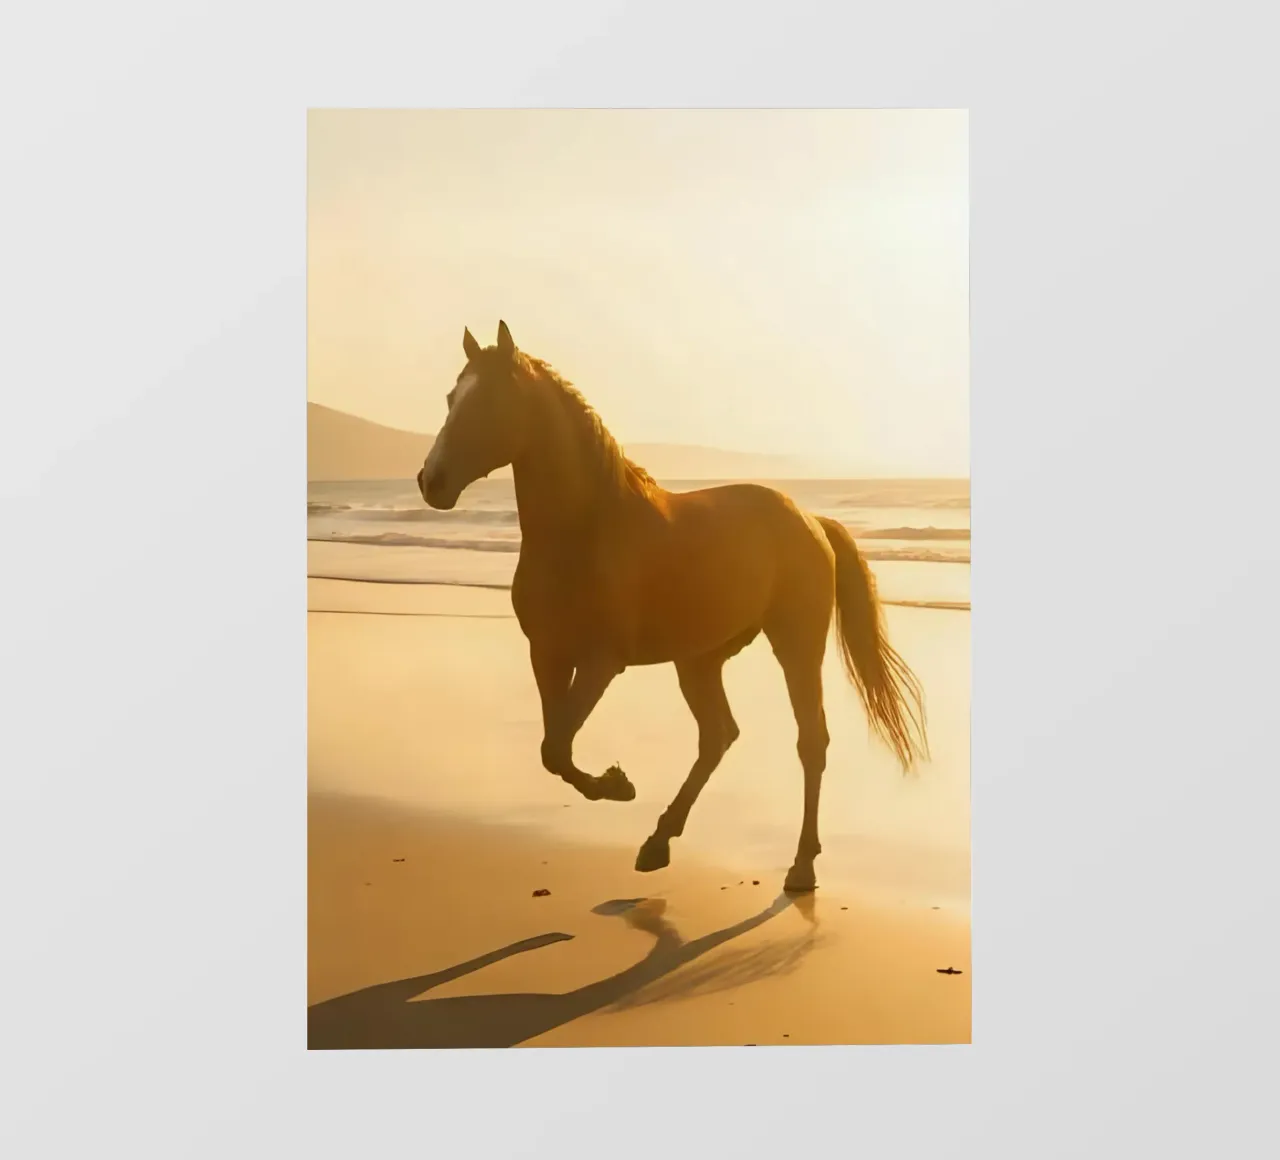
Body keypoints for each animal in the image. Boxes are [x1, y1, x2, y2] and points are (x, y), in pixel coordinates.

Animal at [417, 321, 928, 893]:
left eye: (490, 401)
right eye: (451, 398)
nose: (431, 482)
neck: (585, 528)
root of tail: (809, 519)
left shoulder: (601, 661)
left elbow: (558, 746)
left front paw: (617, 784)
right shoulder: (547, 655)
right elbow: (554, 748)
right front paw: (618, 784)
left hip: (795, 646)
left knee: (809, 742)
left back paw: (800, 865)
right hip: (699, 659)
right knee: (718, 736)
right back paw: (658, 842)